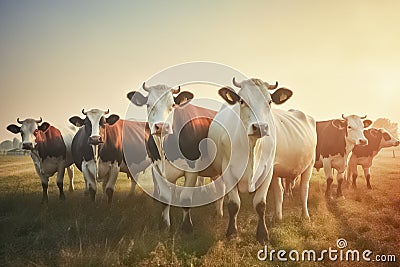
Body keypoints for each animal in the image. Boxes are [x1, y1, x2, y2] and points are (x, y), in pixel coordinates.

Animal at [127, 82, 219, 233]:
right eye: (148, 105)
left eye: (172, 105)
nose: (161, 126)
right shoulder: (157, 169)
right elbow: (164, 198)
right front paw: (164, 225)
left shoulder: (192, 170)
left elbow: (186, 199)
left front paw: (187, 227)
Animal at [209, 77, 316, 243]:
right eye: (242, 101)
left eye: (269, 101)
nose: (260, 127)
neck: (251, 146)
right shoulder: (228, 171)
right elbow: (234, 204)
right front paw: (232, 233)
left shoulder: (268, 170)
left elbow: (260, 204)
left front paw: (262, 235)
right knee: (279, 191)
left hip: (309, 165)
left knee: (304, 190)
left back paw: (305, 216)